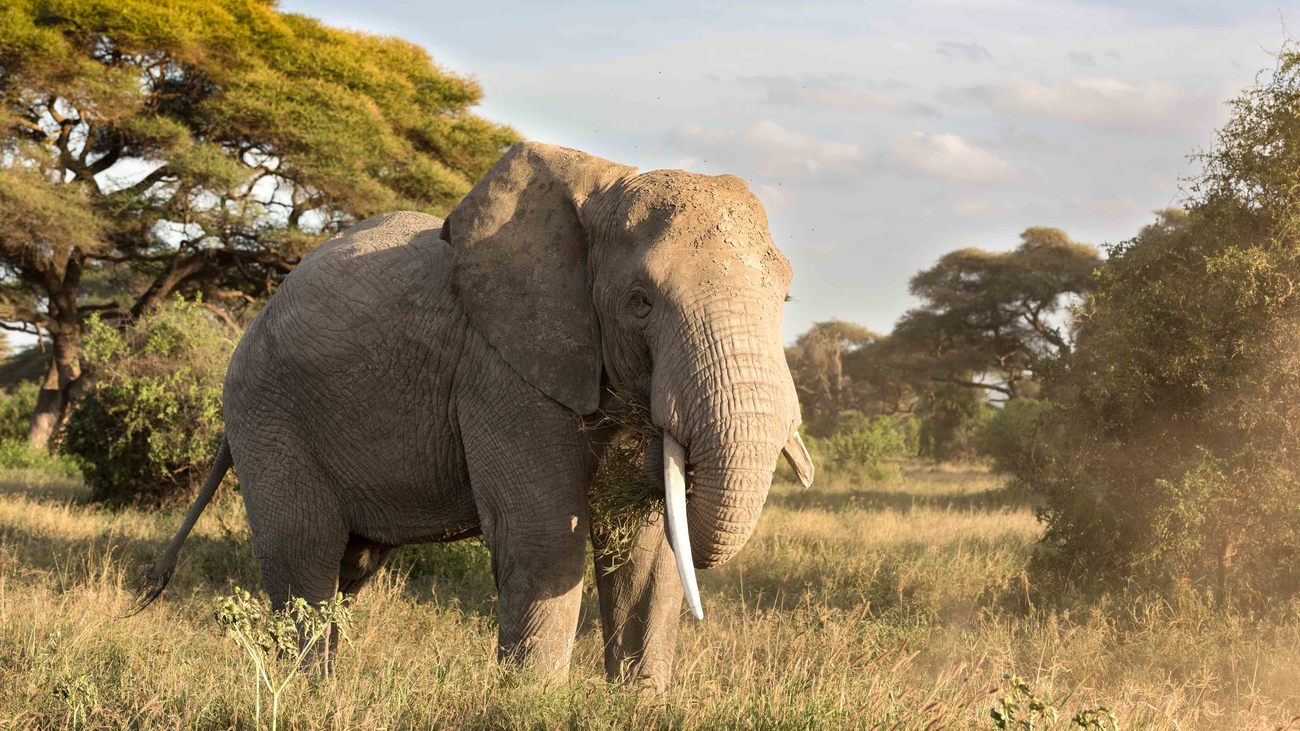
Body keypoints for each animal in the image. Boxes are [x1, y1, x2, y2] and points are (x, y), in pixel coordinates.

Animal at [142, 139, 811, 686]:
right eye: (641, 302)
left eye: (784, 297)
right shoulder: (498, 369)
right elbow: (543, 539)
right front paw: (531, 706)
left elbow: (650, 551)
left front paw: (637, 705)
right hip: (266, 412)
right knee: (303, 553)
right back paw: (304, 691)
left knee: (349, 567)